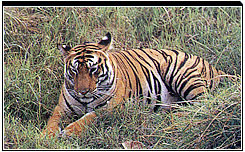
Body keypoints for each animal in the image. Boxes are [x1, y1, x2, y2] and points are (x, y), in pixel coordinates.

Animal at [41, 32, 226, 138]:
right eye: (74, 71)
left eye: (93, 69)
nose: (83, 92)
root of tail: (213, 67)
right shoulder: (62, 108)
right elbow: (52, 121)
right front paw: (46, 136)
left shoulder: (111, 108)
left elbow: (89, 118)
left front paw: (69, 131)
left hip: (180, 73)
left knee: (202, 104)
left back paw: (172, 117)